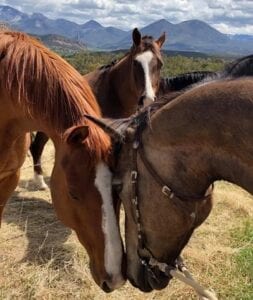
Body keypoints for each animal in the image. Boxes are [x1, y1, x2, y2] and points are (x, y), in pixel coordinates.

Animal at [29, 27, 166, 188]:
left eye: (160, 64)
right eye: (135, 63)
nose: (147, 100)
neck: (113, 91)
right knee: (37, 147)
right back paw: (40, 181)